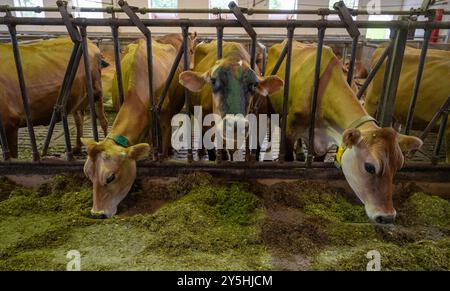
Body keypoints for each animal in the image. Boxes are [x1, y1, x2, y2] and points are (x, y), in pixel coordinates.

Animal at [266, 40, 424, 224]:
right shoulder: (290, 128)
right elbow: (288, 158)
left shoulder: (323, 143)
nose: (387, 216)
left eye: (399, 165)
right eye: (370, 167)